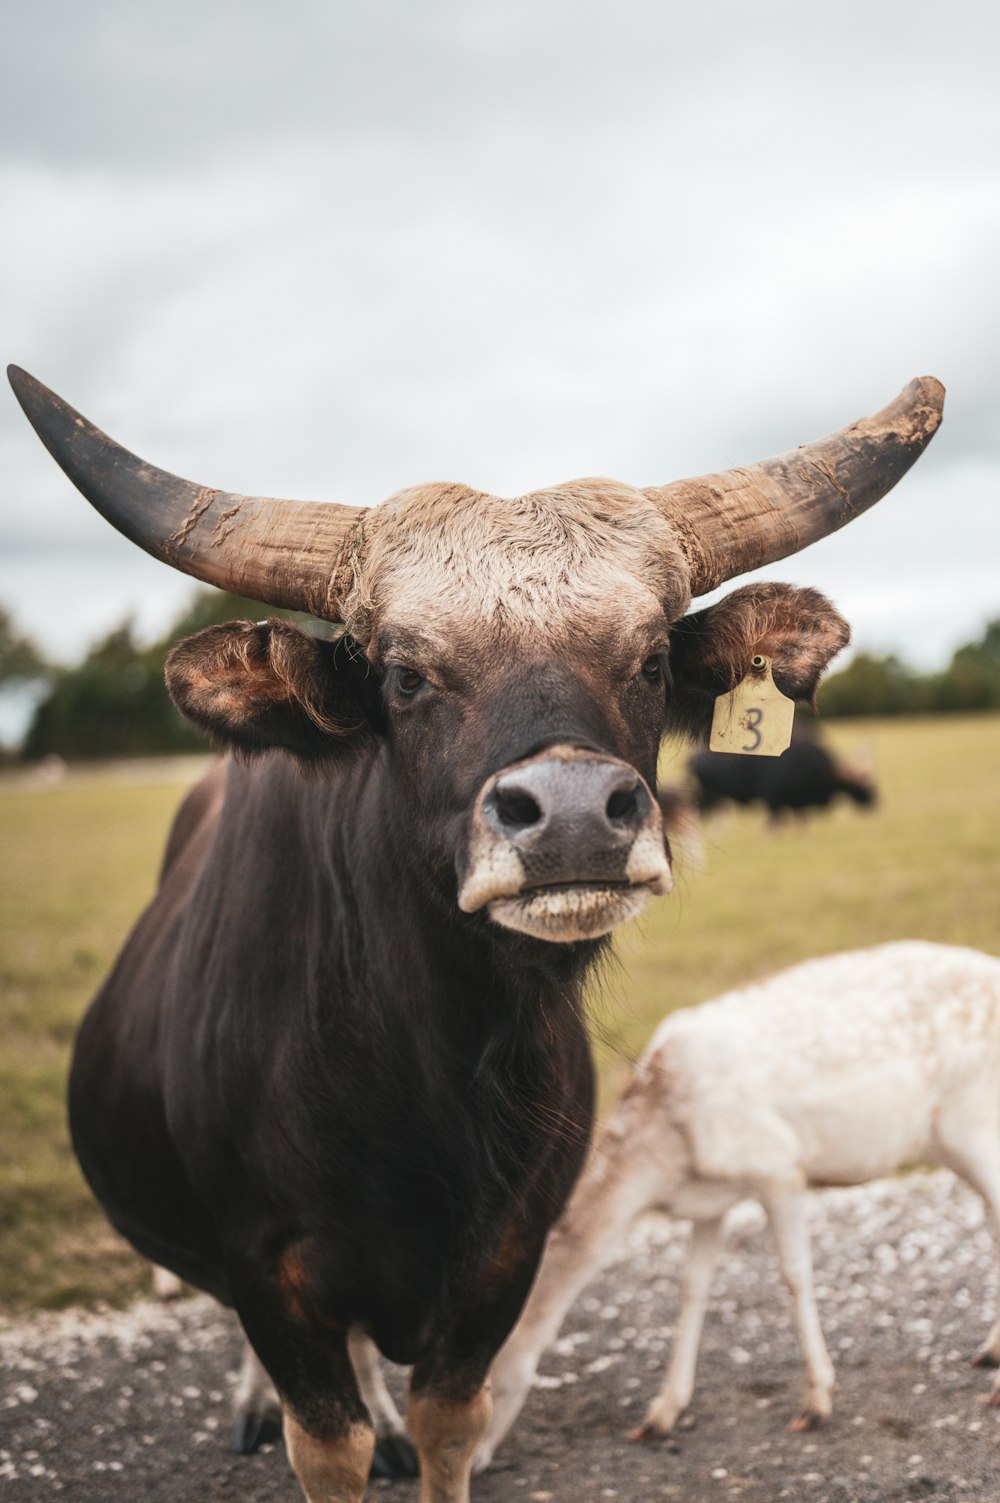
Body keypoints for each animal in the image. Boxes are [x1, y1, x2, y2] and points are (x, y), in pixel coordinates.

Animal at [7, 366, 938, 1503]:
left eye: (650, 661)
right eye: (404, 675)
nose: (575, 817)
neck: (425, 1074)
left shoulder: (505, 1258)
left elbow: (450, 1424)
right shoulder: (269, 1270)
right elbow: (326, 1440)